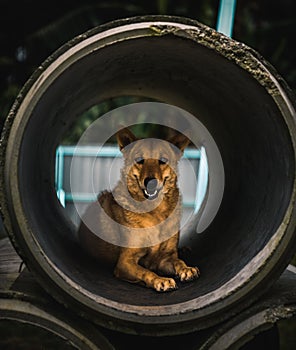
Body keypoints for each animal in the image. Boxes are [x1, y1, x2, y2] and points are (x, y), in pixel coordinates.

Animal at [77, 127, 200, 292]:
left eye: (163, 160)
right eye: (139, 160)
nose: (151, 182)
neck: (154, 212)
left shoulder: (165, 258)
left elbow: (177, 261)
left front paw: (186, 269)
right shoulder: (125, 262)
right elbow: (145, 271)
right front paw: (160, 280)